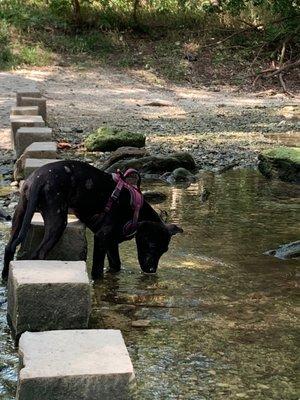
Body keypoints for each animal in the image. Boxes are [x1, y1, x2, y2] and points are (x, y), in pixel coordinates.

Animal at [2, 161, 183, 280]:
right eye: (152, 246)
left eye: (164, 250)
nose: (152, 270)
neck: (135, 212)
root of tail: (39, 178)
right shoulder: (102, 238)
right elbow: (97, 270)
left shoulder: (111, 243)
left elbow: (116, 265)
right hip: (57, 222)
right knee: (38, 253)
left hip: (20, 213)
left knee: (9, 247)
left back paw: (4, 277)